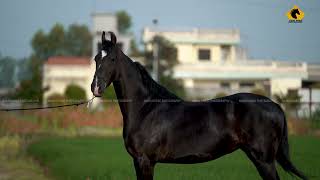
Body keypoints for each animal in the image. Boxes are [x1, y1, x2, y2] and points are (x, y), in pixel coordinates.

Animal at [91, 31, 306, 179]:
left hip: (264, 160)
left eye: (112, 59)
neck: (146, 108)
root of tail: (276, 107)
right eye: (96, 58)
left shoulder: (144, 161)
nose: (96, 88)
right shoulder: (140, 162)